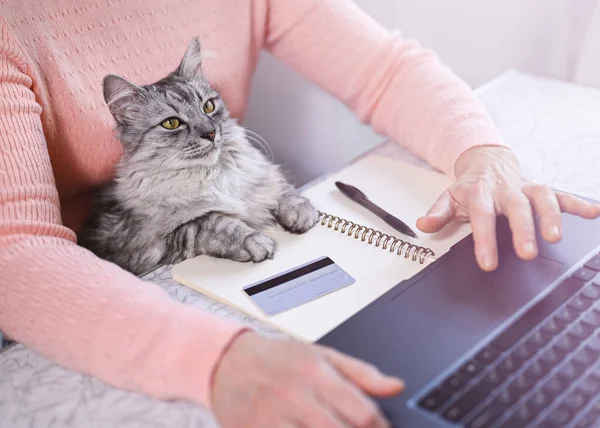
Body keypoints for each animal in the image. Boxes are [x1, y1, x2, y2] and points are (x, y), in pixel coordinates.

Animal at [79, 38, 318, 276]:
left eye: (208, 107)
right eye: (171, 123)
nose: (210, 133)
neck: (213, 174)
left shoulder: (261, 173)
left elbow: (281, 189)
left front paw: (301, 213)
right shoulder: (152, 246)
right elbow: (213, 222)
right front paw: (255, 241)